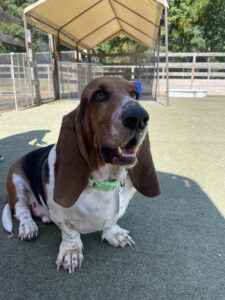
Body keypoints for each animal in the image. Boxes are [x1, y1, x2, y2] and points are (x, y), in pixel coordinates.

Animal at [1, 77, 160, 272]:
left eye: (135, 95)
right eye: (99, 95)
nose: (139, 117)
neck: (103, 181)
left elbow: (111, 222)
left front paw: (115, 234)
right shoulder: (61, 216)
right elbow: (70, 233)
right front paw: (71, 252)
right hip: (16, 180)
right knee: (22, 211)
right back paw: (28, 227)